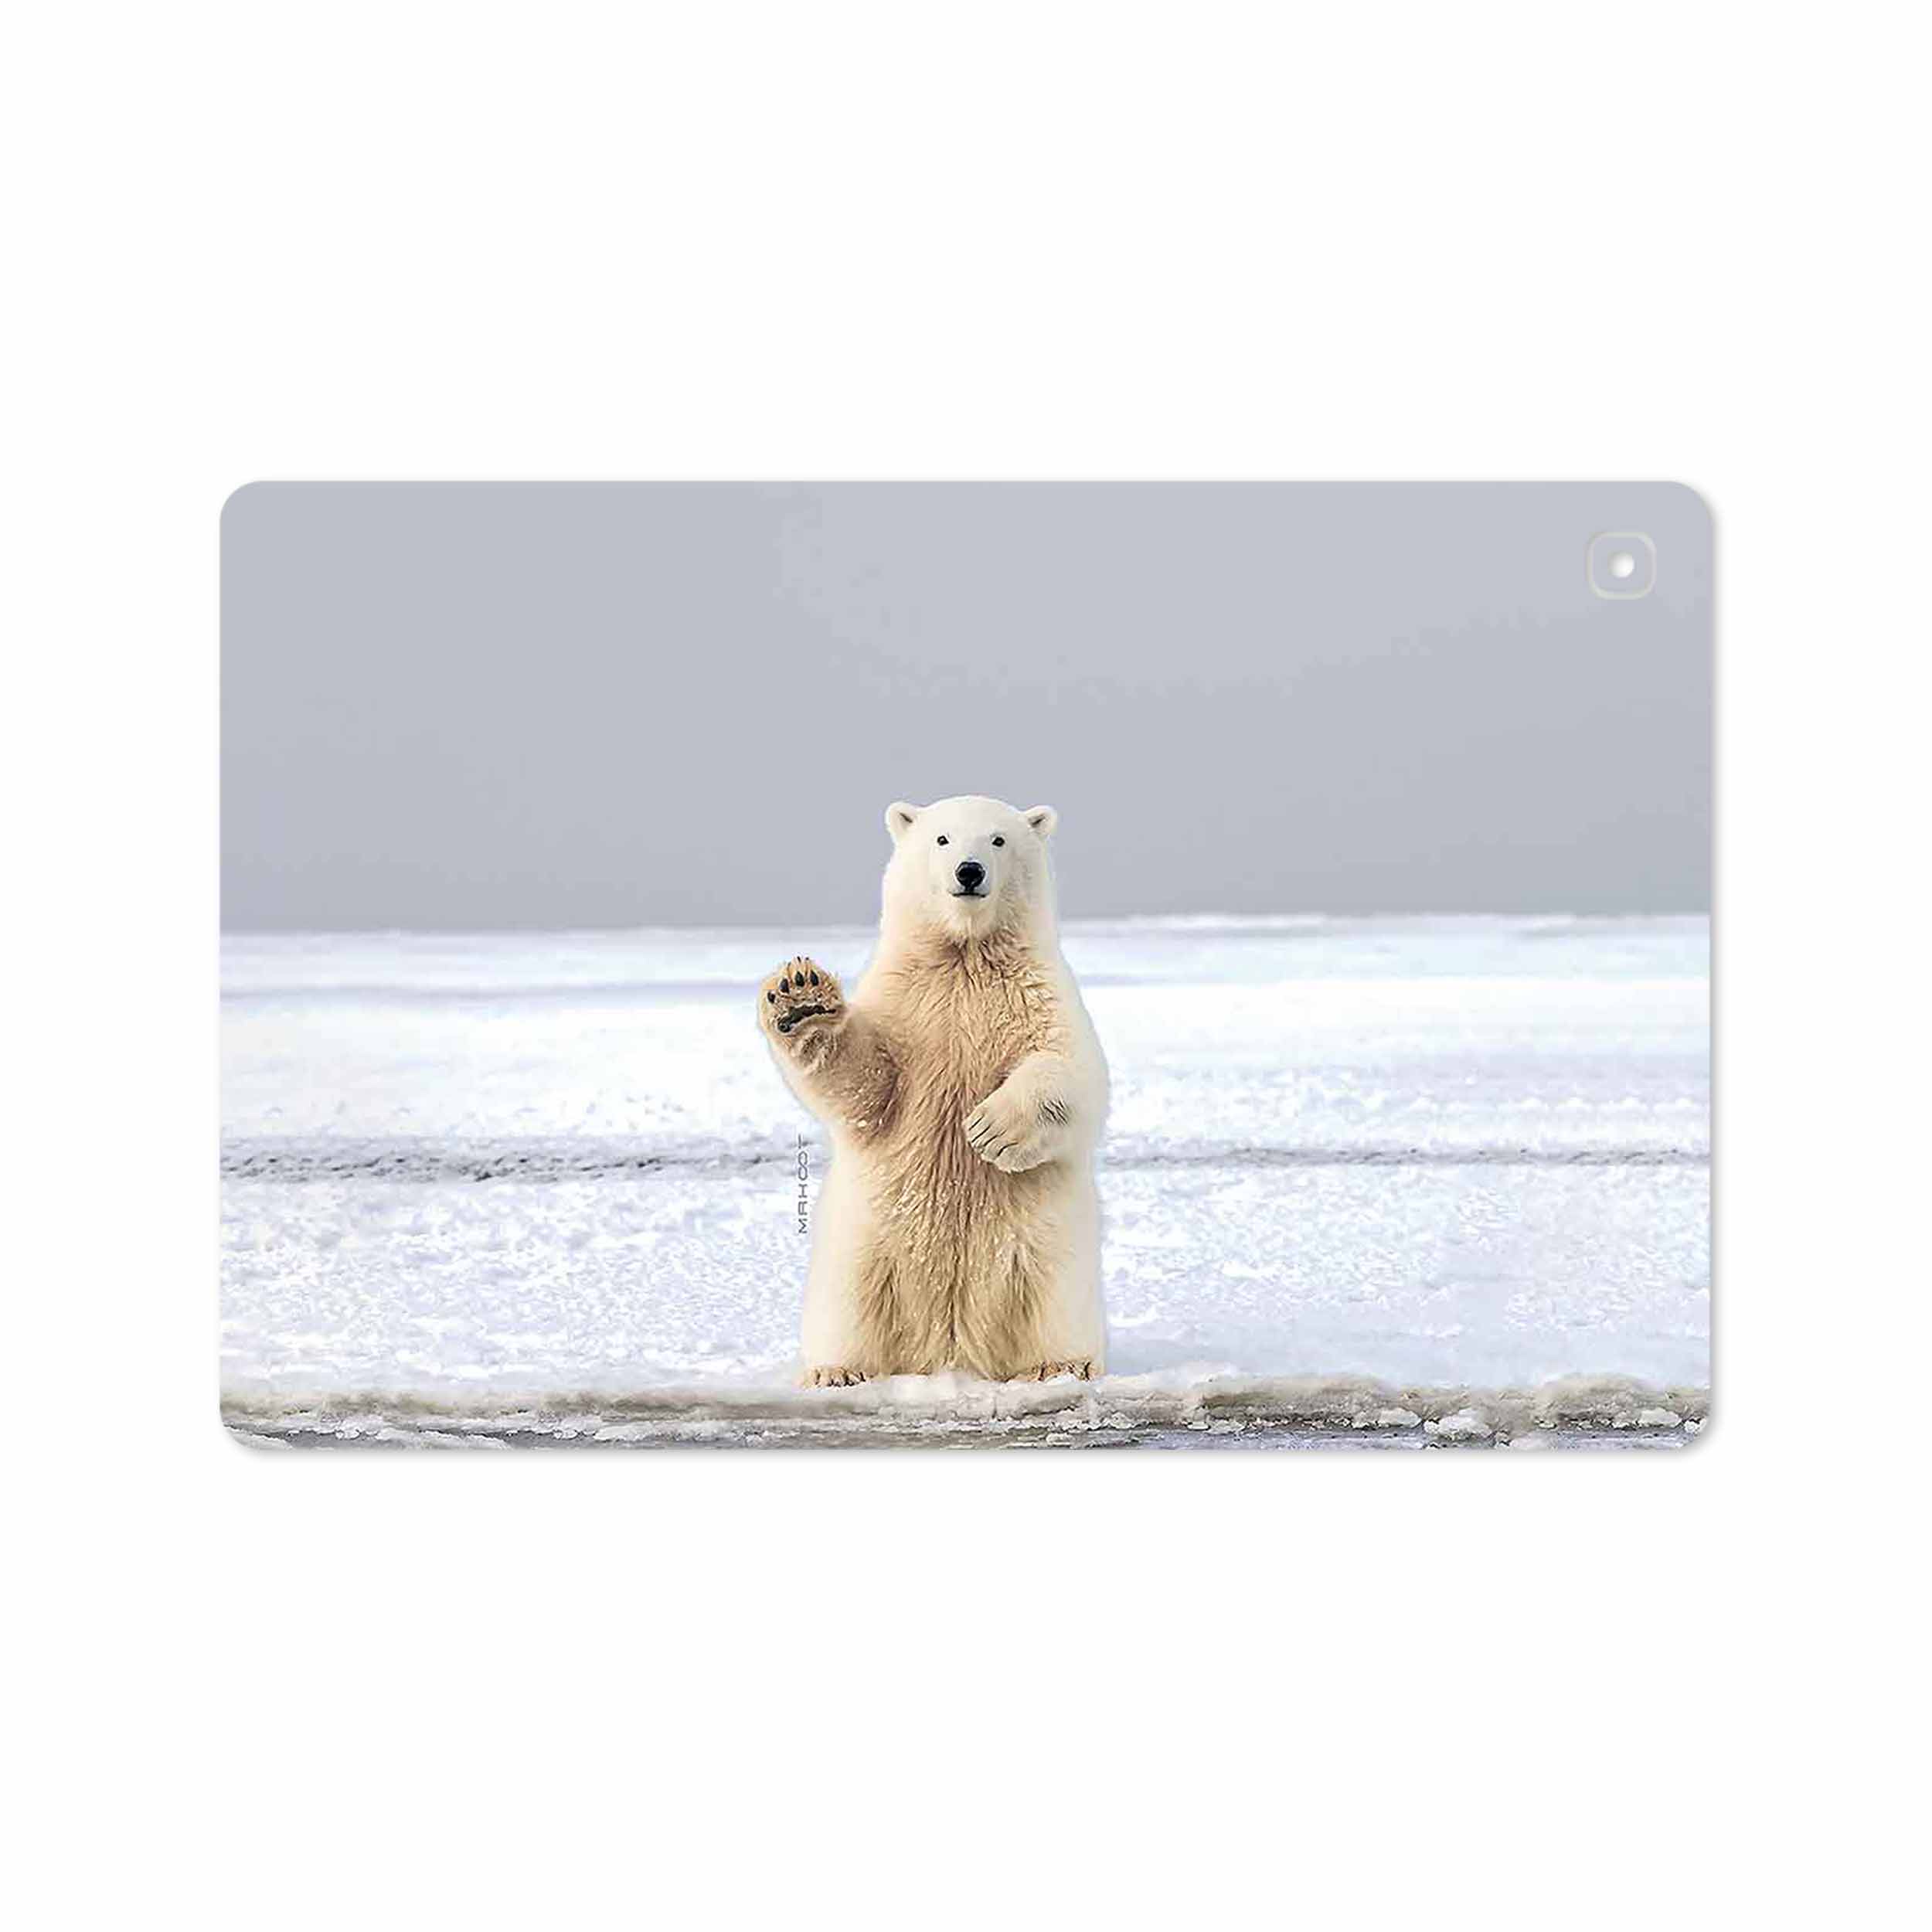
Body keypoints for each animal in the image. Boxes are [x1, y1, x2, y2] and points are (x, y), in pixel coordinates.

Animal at [758, 795, 1109, 1387]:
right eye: (942, 839)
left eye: (998, 839)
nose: (969, 872)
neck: (965, 956)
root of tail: (950, 1350)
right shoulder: (906, 1004)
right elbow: (867, 1084)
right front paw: (801, 999)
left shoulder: (1040, 995)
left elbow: (1074, 1071)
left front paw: (990, 1129)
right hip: (862, 1246)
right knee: (848, 1305)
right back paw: (837, 1371)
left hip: (1049, 1248)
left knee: (1055, 1298)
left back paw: (1061, 1365)